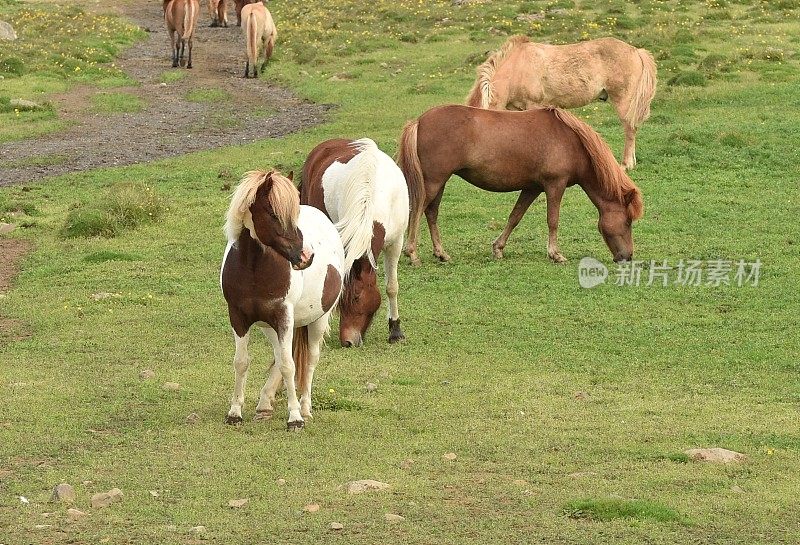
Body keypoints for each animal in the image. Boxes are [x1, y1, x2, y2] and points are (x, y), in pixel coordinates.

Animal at [222, 170, 344, 430]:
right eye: (273, 214)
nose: (306, 256)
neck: (254, 271)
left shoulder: (283, 317)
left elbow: (290, 366)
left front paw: (295, 418)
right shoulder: (238, 317)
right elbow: (241, 362)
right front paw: (235, 413)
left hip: (317, 321)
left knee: (309, 361)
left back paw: (305, 408)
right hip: (270, 326)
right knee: (279, 357)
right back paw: (264, 405)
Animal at [396, 104, 648, 266]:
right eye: (628, 221)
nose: (627, 257)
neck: (571, 141)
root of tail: (419, 121)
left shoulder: (532, 188)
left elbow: (515, 217)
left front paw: (498, 248)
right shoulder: (555, 185)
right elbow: (553, 220)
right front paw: (555, 254)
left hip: (439, 182)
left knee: (431, 213)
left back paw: (441, 254)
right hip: (434, 181)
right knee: (417, 211)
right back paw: (412, 254)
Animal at [462, 36, 656, 170]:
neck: (517, 67)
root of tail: (636, 51)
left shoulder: (533, 106)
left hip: (624, 101)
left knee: (630, 129)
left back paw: (626, 164)